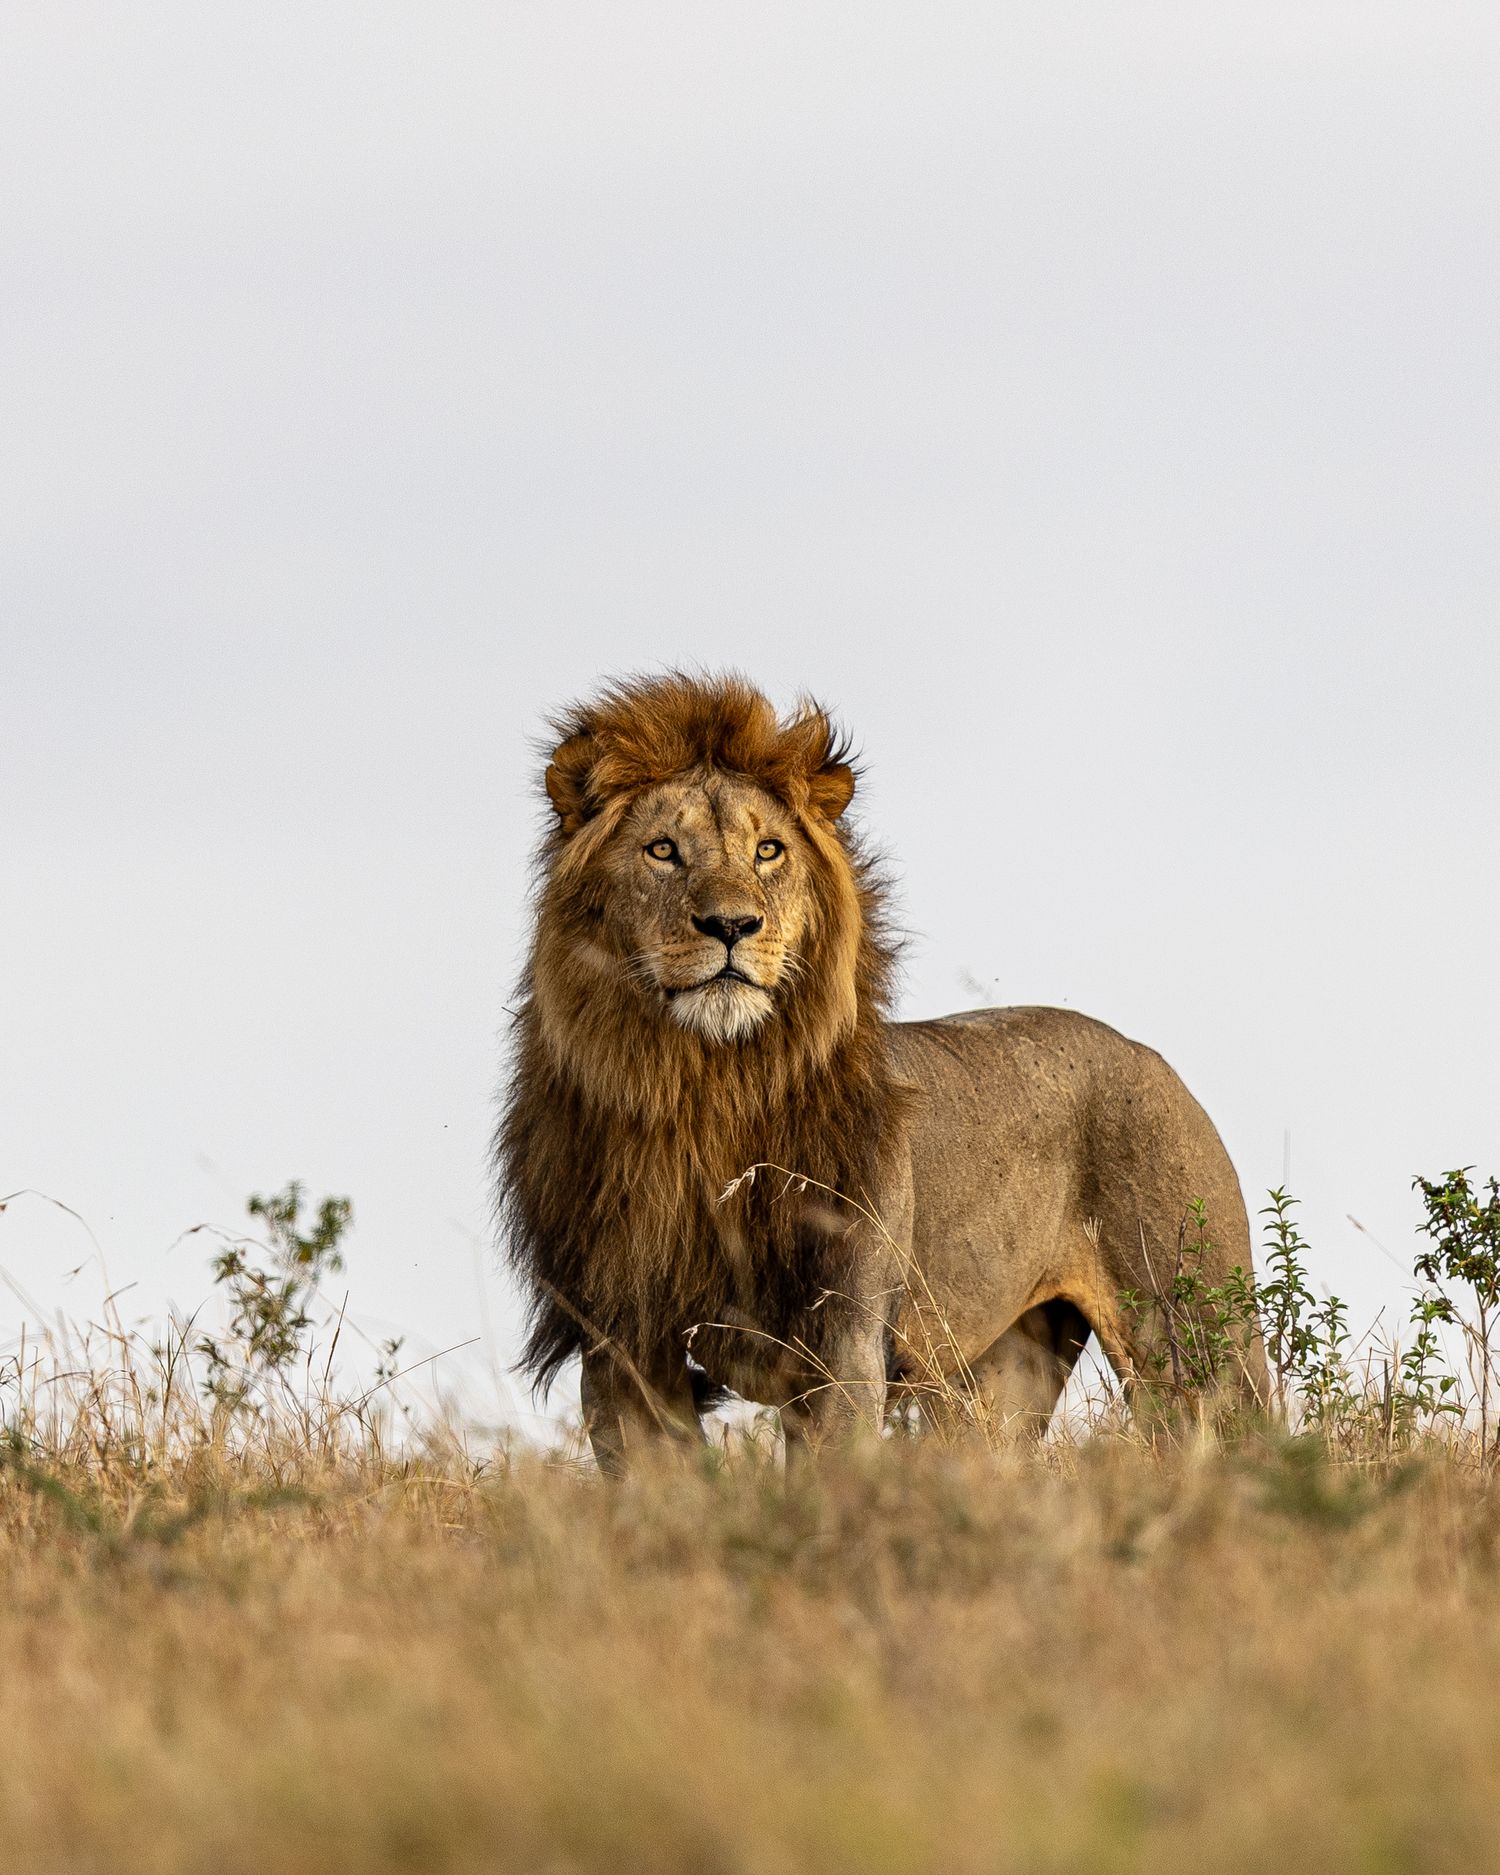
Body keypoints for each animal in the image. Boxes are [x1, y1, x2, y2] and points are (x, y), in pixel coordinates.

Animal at [496, 672, 1267, 1470]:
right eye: (662, 850)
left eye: (768, 850)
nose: (732, 925)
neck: (707, 1085)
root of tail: (1150, 1058)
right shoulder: (621, 1344)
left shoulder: (844, 1337)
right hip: (995, 1377)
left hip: (1194, 1338)